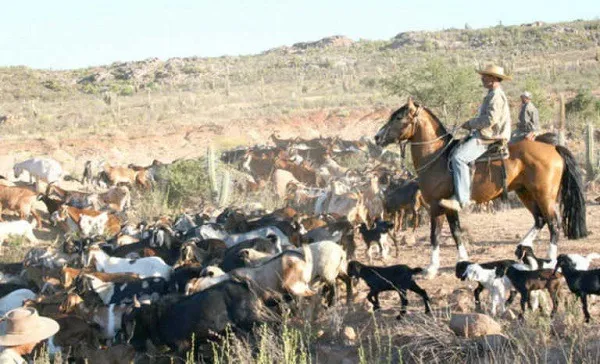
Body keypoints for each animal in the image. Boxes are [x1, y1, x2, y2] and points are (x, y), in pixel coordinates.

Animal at [376, 98, 584, 278]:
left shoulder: (435, 206)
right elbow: (456, 232)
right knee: (540, 220)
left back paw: (549, 260)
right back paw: (522, 248)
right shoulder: (449, 206)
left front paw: (431, 269)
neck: (437, 156)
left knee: (553, 224)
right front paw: (462, 260)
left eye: (398, 117)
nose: (377, 137)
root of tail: (554, 148)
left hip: (544, 195)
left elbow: (435, 235)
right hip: (525, 192)